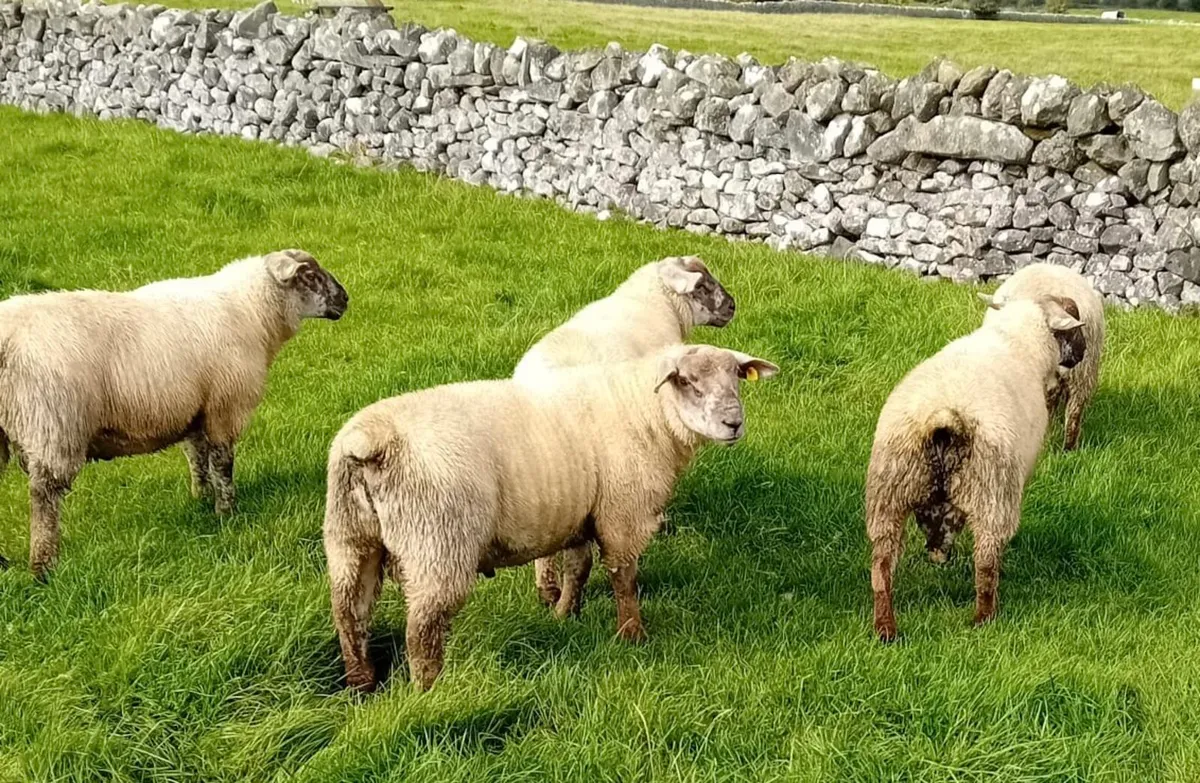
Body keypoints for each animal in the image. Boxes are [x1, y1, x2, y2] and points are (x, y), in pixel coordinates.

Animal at [0, 249, 348, 579]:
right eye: (310, 276)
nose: (345, 299)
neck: (251, 311)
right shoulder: (224, 405)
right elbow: (222, 462)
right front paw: (226, 511)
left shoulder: (197, 409)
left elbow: (197, 457)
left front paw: (201, 499)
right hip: (53, 423)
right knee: (45, 495)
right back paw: (43, 568)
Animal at [324, 343, 778, 692]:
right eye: (690, 383)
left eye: (737, 378)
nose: (734, 423)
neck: (648, 410)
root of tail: (368, 441)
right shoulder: (622, 510)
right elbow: (623, 575)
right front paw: (632, 635)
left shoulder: (579, 513)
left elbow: (579, 567)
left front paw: (565, 617)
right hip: (437, 542)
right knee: (422, 630)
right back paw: (430, 691)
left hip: (349, 538)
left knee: (349, 612)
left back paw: (361, 683)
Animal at [865, 295, 1086, 641]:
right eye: (1072, 328)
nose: (1082, 354)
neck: (1016, 340)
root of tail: (944, 418)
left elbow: (942, 524)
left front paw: (939, 553)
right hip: (990, 493)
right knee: (985, 562)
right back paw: (985, 617)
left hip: (890, 492)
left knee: (882, 567)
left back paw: (886, 628)